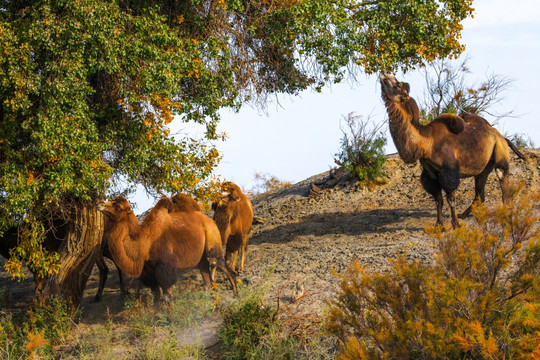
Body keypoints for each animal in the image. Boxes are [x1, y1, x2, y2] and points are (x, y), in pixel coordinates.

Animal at [98, 195, 236, 302]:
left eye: (117, 206)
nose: (100, 203)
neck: (144, 243)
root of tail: (210, 220)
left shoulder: (165, 267)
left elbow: (167, 297)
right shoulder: (149, 273)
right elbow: (157, 298)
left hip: (212, 239)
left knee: (219, 263)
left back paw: (236, 293)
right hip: (201, 256)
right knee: (206, 276)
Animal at [378, 71, 524, 228]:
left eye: (397, 84)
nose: (385, 72)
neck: (426, 143)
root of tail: (501, 137)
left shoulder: (449, 169)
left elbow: (451, 198)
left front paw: (455, 224)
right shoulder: (431, 173)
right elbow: (438, 200)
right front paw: (439, 224)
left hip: (500, 152)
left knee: (503, 179)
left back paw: (505, 212)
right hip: (484, 166)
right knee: (480, 192)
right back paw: (465, 214)